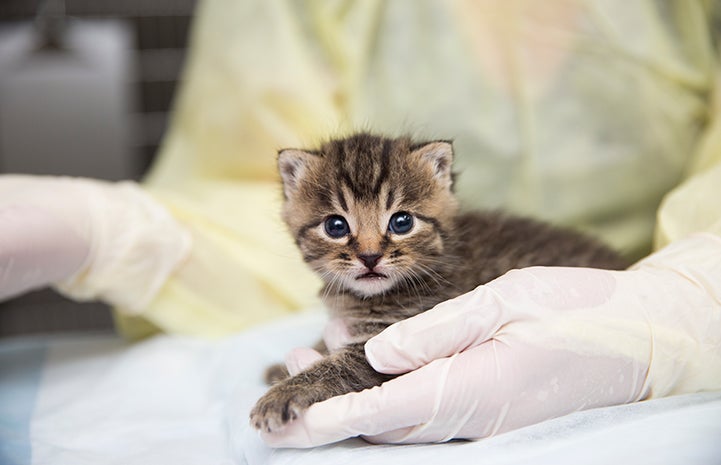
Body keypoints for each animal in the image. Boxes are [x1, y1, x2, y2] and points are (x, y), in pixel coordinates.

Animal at [248, 132, 624, 434]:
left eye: (401, 221)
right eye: (336, 226)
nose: (370, 256)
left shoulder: (394, 336)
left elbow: (342, 365)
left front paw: (283, 394)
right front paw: (282, 367)